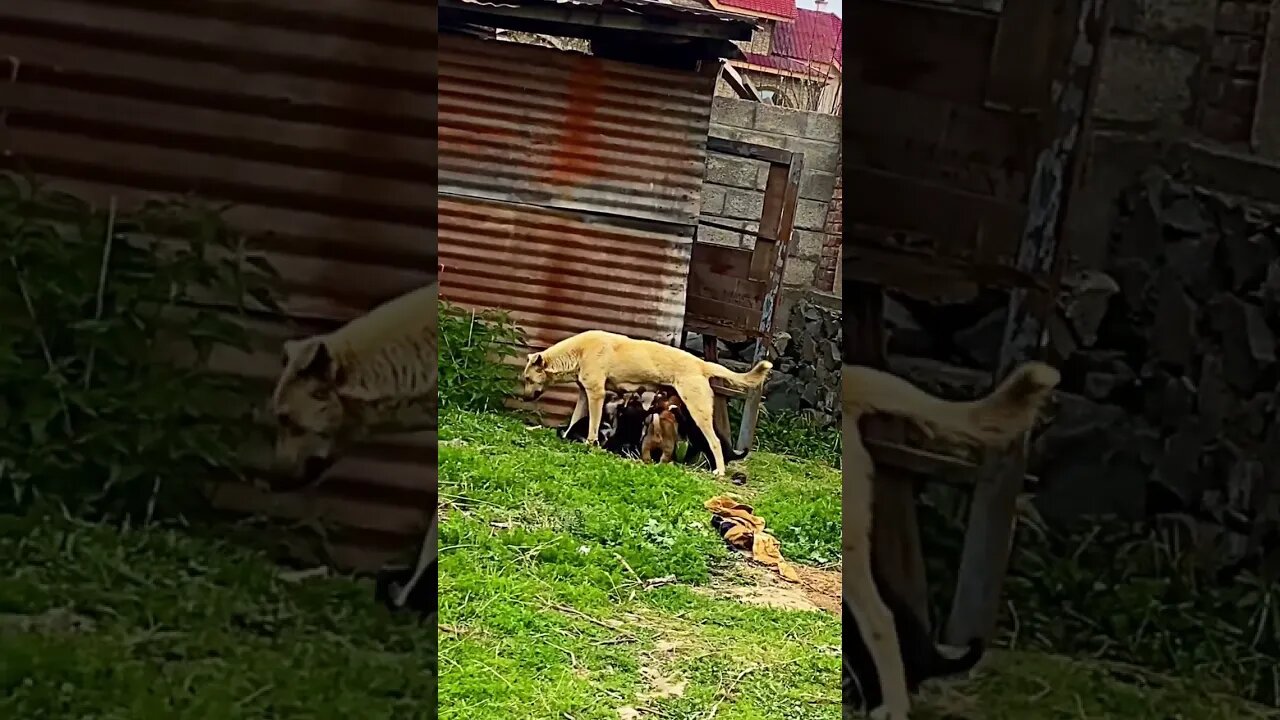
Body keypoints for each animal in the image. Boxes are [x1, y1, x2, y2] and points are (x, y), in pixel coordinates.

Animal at [519, 327, 768, 474]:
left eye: (528, 379)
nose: (523, 397)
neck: (577, 352)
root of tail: (701, 364)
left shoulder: (596, 395)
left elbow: (592, 425)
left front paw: (590, 444)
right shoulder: (584, 394)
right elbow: (574, 421)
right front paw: (569, 436)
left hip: (698, 411)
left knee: (714, 441)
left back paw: (719, 471)